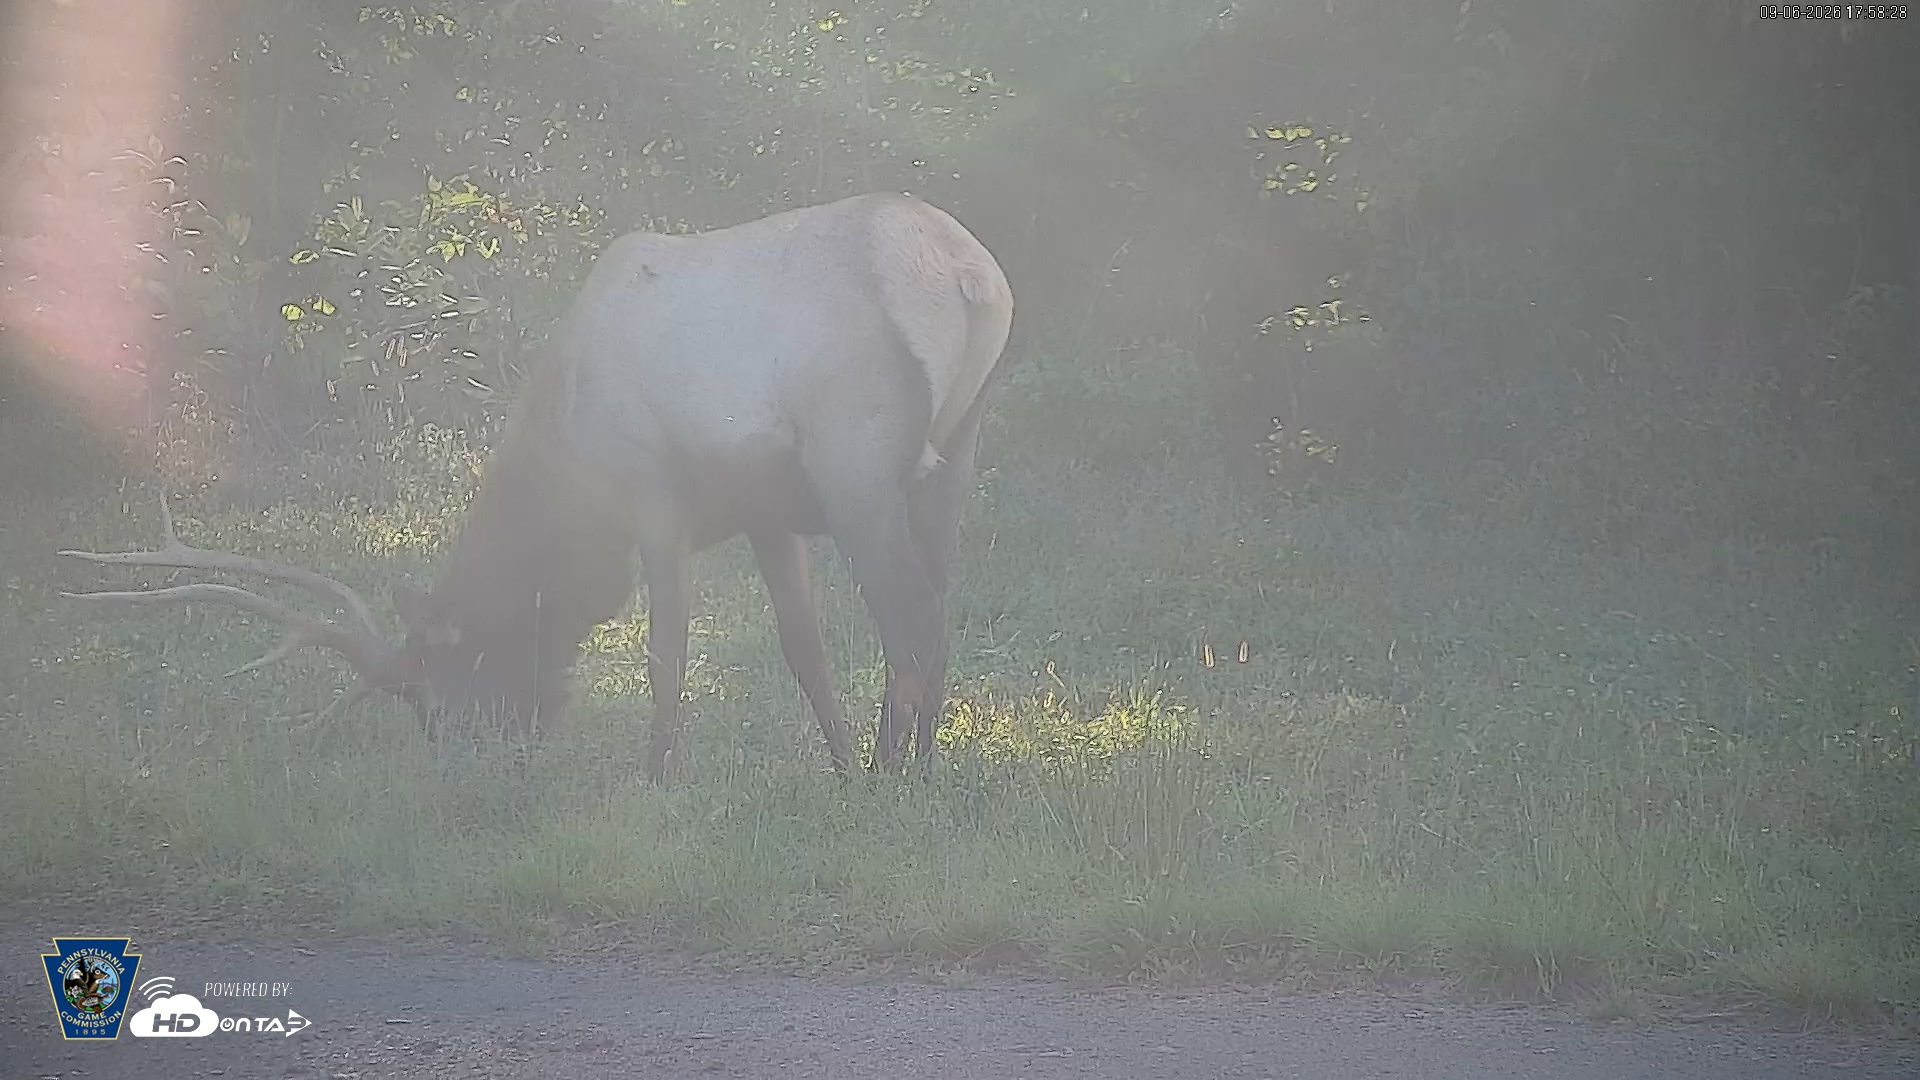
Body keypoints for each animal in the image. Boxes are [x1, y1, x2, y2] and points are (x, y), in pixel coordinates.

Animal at [60, 192, 1015, 779]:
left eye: (432, 687)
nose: (465, 764)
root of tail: (972, 279)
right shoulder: (766, 514)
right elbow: (803, 649)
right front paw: (839, 769)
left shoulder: (650, 488)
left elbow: (665, 653)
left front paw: (659, 780)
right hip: (956, 454)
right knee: (937, 609)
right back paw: (918, 769)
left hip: (857, 463)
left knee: (914, 619)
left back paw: (900, 774)